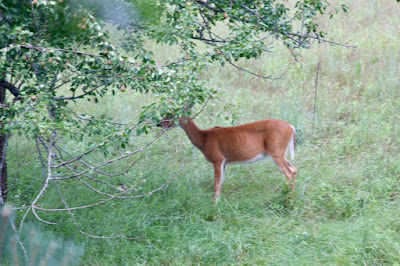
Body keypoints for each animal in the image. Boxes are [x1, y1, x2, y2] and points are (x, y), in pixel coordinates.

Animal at [159, 115, 296, 204]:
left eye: (171, 114)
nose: (158, 124)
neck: (203, 139)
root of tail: (291, 127)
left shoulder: (217, 159)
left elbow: (216, 183)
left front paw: (214, 204)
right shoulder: (224, 162)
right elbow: (221, 182)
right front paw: (218, 202)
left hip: (275, 151)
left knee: (288, 172)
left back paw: (284, 197)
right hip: (280, 153)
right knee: (294, 169)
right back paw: (290, 197)